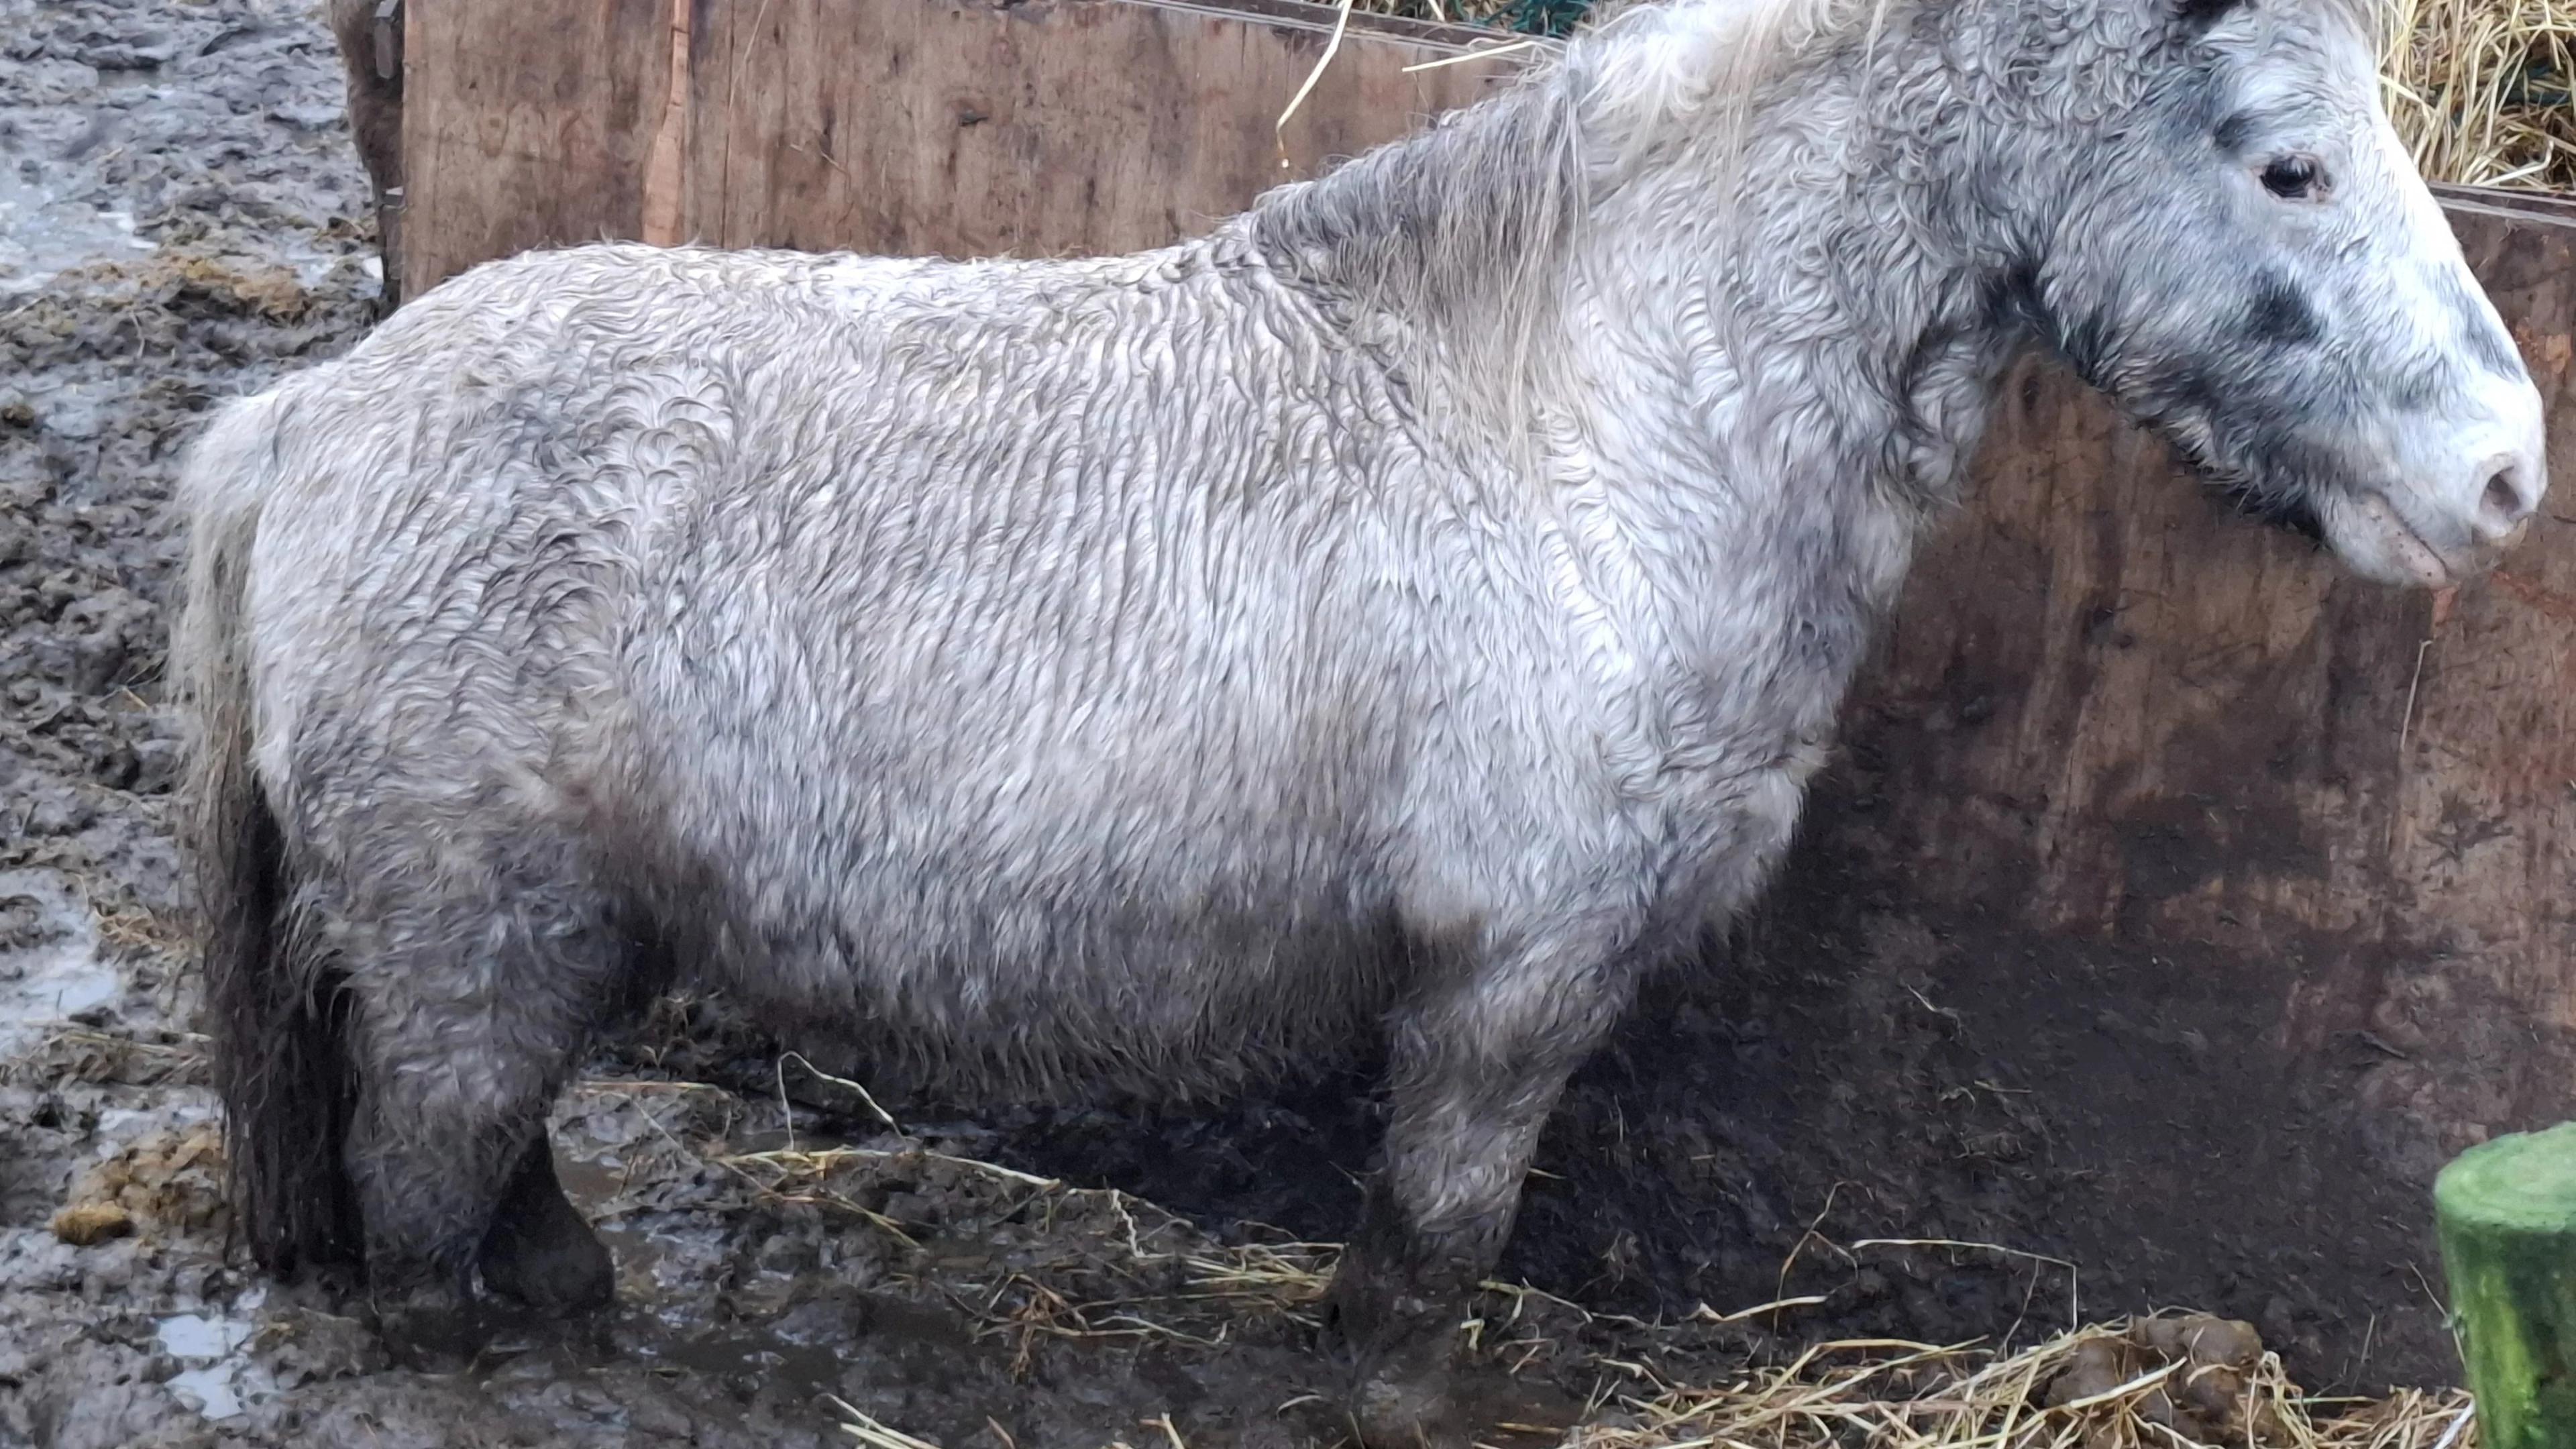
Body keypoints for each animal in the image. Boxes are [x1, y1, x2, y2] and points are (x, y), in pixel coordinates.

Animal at [173, 0, 2544, 1437]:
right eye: (2286, 169)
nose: (2507, 478)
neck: (1592, 420)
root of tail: (313, 417)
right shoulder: (1508, 997)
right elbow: (1428, 1259)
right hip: (474, 945)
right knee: (422, 1200)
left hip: (532, 945)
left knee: (490, 1162)